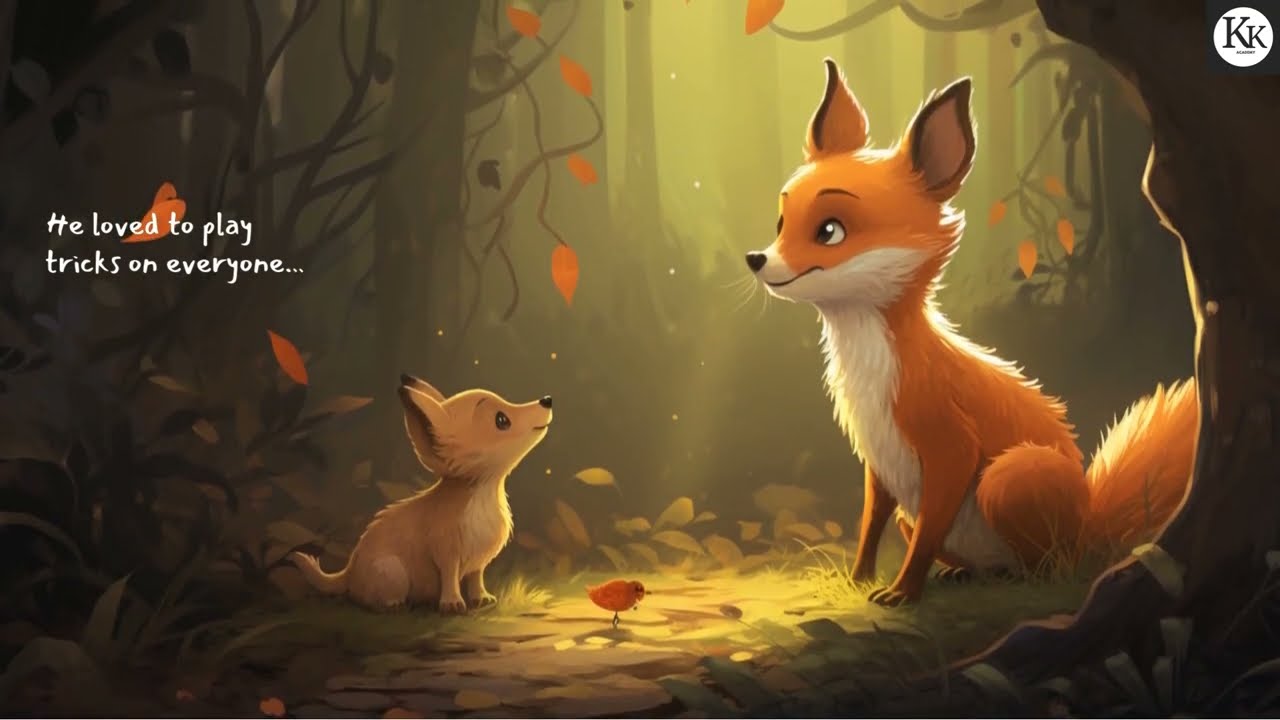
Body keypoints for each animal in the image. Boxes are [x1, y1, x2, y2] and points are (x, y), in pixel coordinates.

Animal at [287, 374, 553, 612]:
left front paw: (482, 598)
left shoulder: (478, 563)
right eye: (501, 420)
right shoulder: (446, 553)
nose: (547, 399)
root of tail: (348, 571)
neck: (482, 492)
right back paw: (393, 604)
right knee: (366, 599)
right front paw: (453, 604)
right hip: (392, 572)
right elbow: (450, 578)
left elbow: (476, 579)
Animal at [746, 58, 1199, 606]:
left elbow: (926, 534)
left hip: (1010, 477)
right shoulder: (878, 461)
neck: (874, 370)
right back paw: (965, 575)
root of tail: (1091, 522)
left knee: (1052, 567)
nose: (756, 260)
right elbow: (870, 525)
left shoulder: (951, 447)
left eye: (829, 230)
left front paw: (901, 594)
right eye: (781, 222)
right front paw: (857, 582)